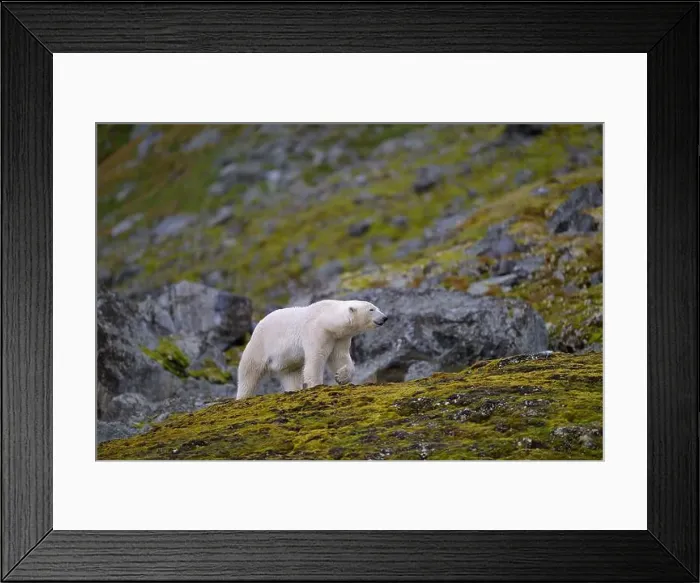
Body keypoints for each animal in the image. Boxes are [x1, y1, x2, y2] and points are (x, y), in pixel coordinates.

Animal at [235, 299, 388, 399]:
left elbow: (340, 358)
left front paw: (341, 377)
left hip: (286, 362)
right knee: (249, 372)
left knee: (290, 374)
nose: (385, 317)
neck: (327, 318)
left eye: (376, 307)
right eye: (371, 309)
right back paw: (243, 396)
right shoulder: (316, 331)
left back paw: (293, 390)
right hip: (260, 345)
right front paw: (316, 385)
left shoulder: (339, 337)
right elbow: (316, 358)